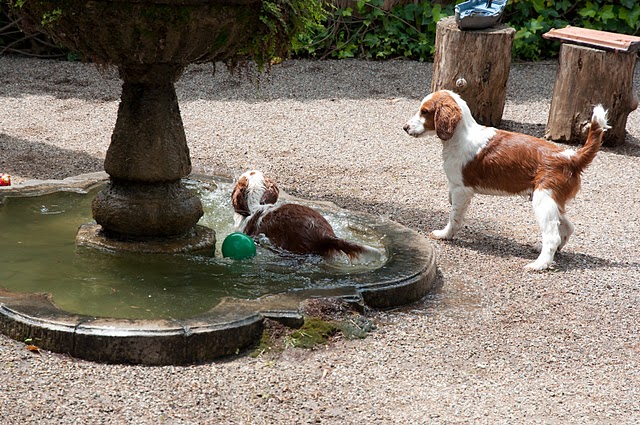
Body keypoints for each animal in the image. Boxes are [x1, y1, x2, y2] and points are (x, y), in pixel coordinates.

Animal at [402, 90, 608, 270]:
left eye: (424, 111)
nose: (405, 127)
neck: (459, 137)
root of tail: (571, 157)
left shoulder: (461, 189)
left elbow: (454, 216)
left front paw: (445, 235)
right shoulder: (455, 189)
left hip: (543, 200)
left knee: (552, 236)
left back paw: (540, 264)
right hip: (551, 200)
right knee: (567, 227)